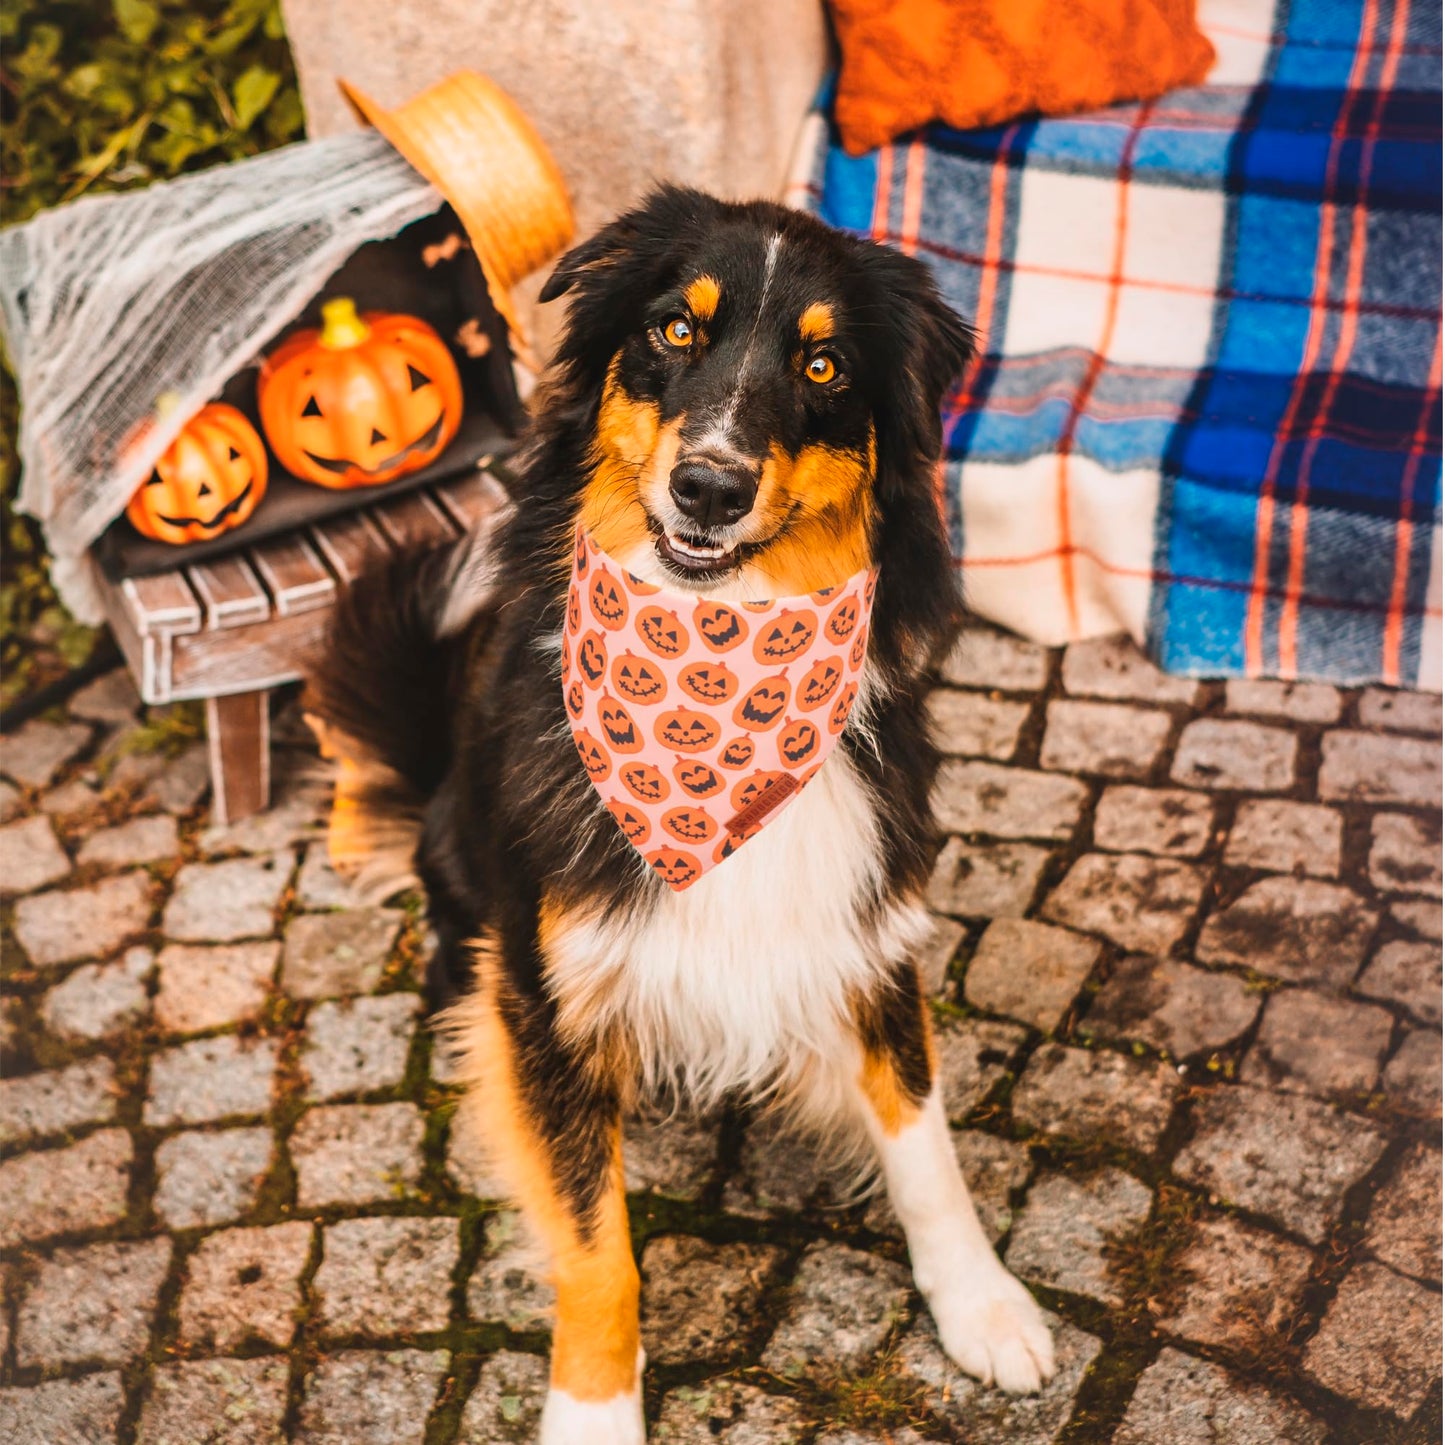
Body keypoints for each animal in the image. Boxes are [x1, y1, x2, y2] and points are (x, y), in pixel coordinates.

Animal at [307, 186, 1051, 1439]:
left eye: (821, 363)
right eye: (673, 331)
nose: (708, 486)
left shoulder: (865, 932)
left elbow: (923, 1140)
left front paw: (982, 1304)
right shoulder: (549, 1001)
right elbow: (596, 1244)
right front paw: (593, 1409)